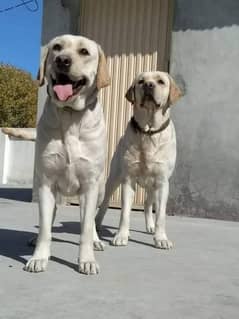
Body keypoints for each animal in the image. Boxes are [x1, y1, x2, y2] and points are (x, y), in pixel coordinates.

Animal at [96, 71, 182, 249]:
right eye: (141, 81)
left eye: (161, 81)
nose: (149, 85)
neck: (148, 131)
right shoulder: (128, 179)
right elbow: (125, 213)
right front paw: (121, 236)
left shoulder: (162, 182)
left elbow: (161, 215)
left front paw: (161, 238)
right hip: (114, 178)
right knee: (105, 203)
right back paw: (97, 223)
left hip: (152, 187)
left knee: (148, 204)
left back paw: (150, 226)